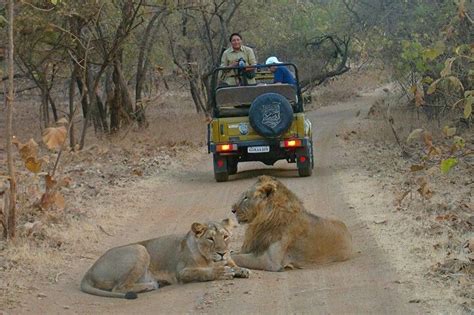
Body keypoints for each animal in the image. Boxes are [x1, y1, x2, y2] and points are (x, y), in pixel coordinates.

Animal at [79, 218, 250, 300]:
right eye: (210, 239)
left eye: (225, 236)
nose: (222, 253)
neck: (209, 258)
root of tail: (88, 271)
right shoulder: (182, 272)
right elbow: (204, 272)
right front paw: (222, 272)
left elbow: (233, 264)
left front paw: (242, 270)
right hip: (139, 249)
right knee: (119, 288)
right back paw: (151, 285)